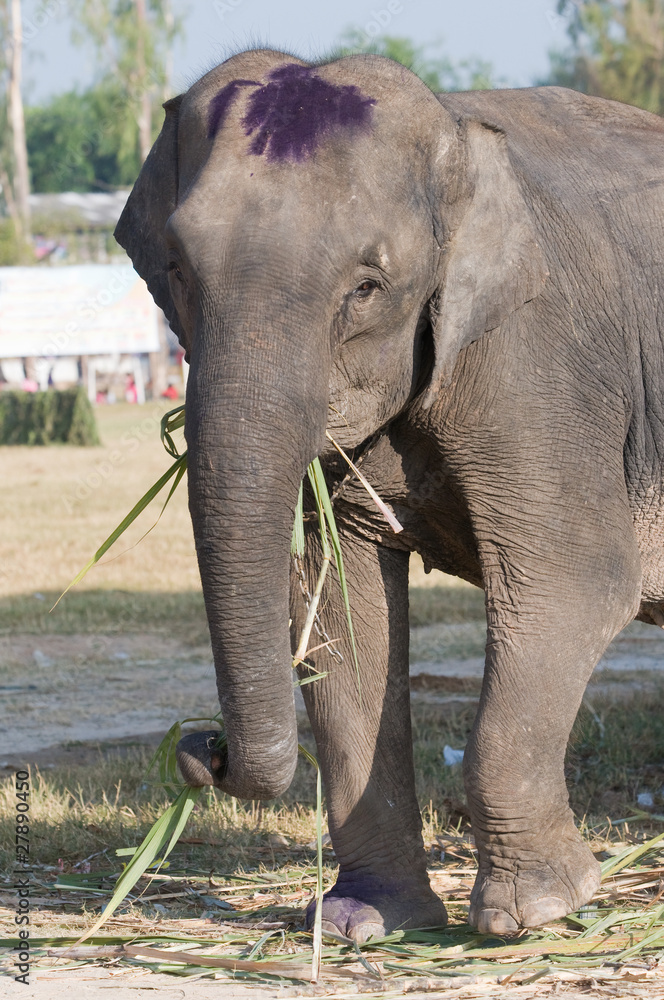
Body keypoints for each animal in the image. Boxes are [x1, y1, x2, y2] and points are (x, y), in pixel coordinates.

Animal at [114, 48, 664, 942]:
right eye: (177, 268)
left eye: (368, 286)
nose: (203, 748)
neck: (456, 127)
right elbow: (341, 614)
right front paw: (362, 923)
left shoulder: (539, 362)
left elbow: (574, 582)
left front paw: (534, 914)